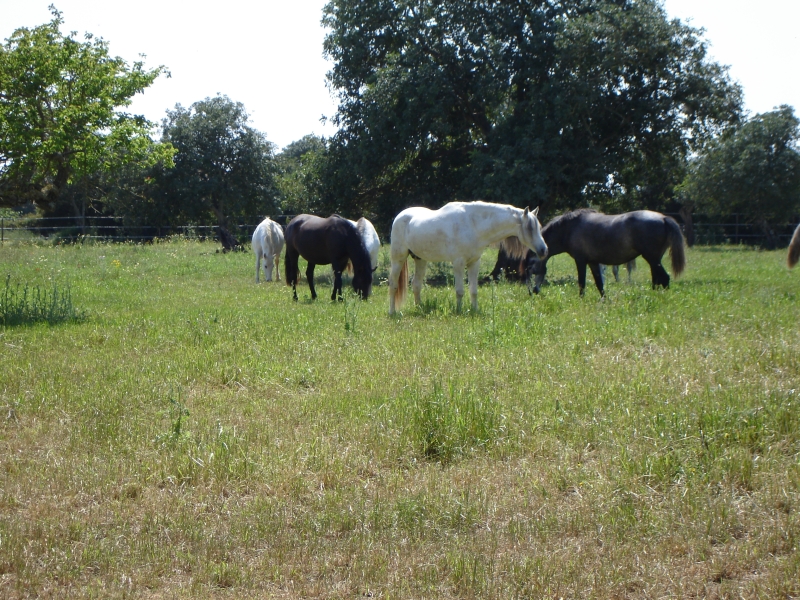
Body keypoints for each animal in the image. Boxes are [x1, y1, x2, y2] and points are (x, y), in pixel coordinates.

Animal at [390, 200, 552, 314]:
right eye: (530, 227)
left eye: (538, 227)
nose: (544, 250)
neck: (473, 225)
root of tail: (401, 216)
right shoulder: (458, 263)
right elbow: (459, 291)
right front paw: (459, 311)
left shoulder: (474, 263)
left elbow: (473, 290)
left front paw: (474, 310)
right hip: (398, 258)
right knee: (393, 284)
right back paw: (392, 312)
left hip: (421, 260)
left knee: (416, 284)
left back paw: (419, 308)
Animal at [532, 209, 688, 298]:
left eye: (532, 267)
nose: (534, 291)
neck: (569, 229)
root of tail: (663, 218)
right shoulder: (593, 262)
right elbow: (599, 283)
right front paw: (604, 300)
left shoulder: (580, 261)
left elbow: (582, 283)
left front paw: (581, 300)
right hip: (654, 260)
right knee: (657, 279)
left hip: (652, 258)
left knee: (664, 278)